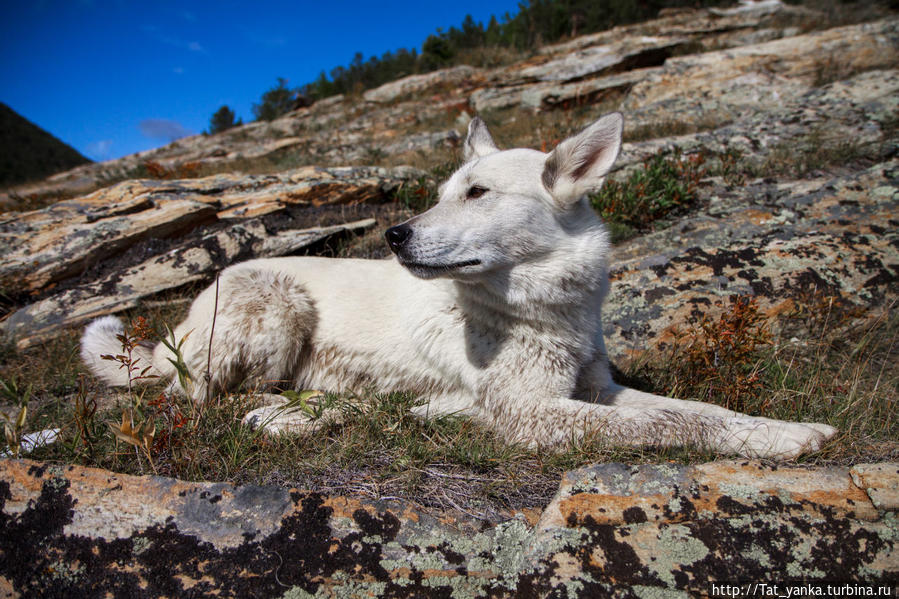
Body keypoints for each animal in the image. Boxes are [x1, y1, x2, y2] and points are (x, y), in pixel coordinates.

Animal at [81, 113, 840, 460]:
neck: (545, 311)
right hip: (277, 302)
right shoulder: (532, 411)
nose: (393, 236)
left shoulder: (593, 388)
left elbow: (696, 410)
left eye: (475, 193)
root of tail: (177, 324)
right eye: (443, 193)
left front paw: (786, 431)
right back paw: (298, 411)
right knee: (201, 396)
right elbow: (669, 424)